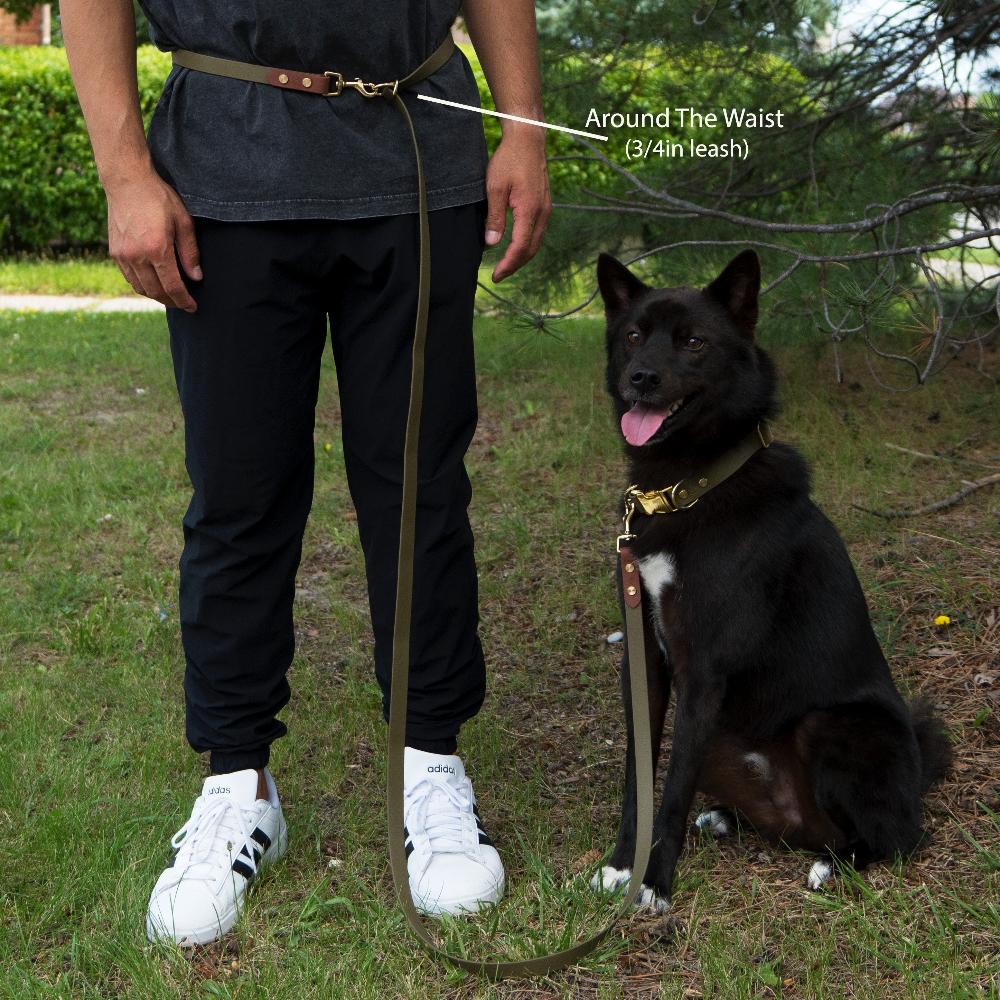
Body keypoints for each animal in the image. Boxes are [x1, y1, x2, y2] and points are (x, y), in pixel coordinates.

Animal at [592, 248, 952, 908]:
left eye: (694, 342)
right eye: (632, 337)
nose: (641, 378)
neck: (688, 487)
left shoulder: (703, 670)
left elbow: (670, 789)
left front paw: (654, 882)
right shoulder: (647, 660)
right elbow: (641, 775)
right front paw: (620, 867)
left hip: (834, 727)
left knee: (898, 837)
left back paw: (834, 867)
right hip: (726, 740)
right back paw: (729, 820)